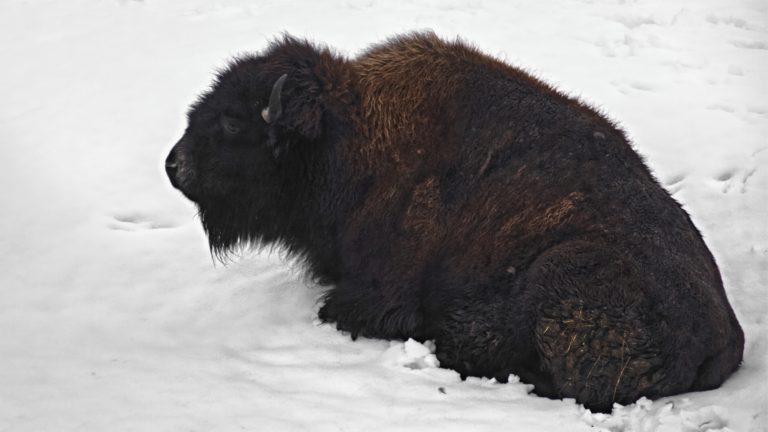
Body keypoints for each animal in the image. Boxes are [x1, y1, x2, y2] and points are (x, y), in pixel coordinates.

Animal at [165, 32, 744, 412]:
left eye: (232, 122)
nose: (174, 166)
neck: (350, 140)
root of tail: (724, 341)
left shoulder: (374, 299)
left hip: (559, 270)